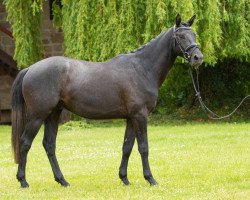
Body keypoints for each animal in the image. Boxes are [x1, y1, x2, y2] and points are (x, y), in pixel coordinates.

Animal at [11, 13, 203, 188]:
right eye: (180, 36)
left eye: (194, 34)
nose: (198, 58)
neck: (141, 68)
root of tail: (30, 69)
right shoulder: (140, 115)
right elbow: (143, 147)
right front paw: (150, 179)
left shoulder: (131, 118)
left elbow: (127, 147)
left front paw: (124, 178)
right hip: (38, 116)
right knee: (25, 143)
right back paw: (23, 181)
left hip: (53, 114)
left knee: (49, 145)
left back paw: (62, 181)